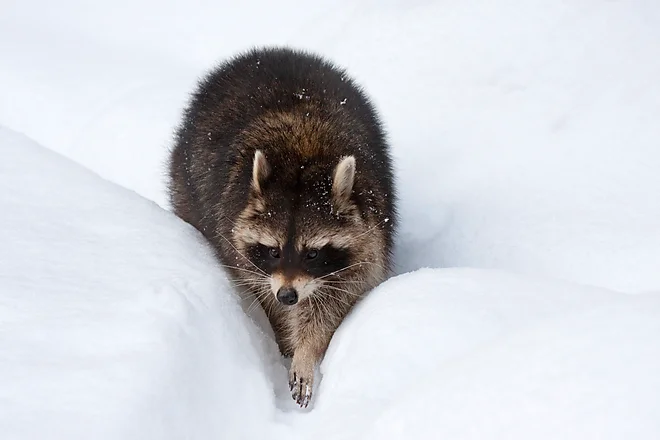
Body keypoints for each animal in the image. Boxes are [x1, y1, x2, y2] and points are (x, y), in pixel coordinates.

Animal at [168, 47, 396, 407]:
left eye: (313, 253)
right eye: (273, 251)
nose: (288, 295)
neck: (303, 155)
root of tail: (271, 51)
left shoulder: (365, 244)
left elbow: (329, 308)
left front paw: (306, 352)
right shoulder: (243, 251)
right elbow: (266, 297)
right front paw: (285, 338)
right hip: (183, 185)